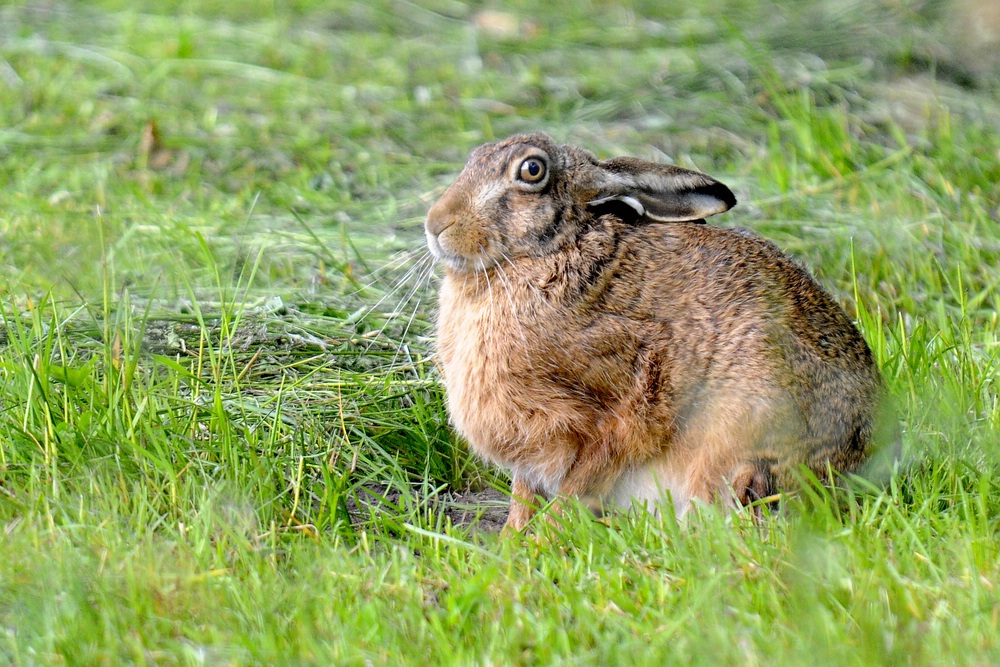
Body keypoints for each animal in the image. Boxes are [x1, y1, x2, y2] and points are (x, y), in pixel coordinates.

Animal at [424, 132, 887, 531]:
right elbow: (524, 497)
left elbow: (577, 487)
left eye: (532, 169)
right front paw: (511, 542)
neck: (552, 252)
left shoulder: (623, 404)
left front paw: (542, 541)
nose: (435, 224)